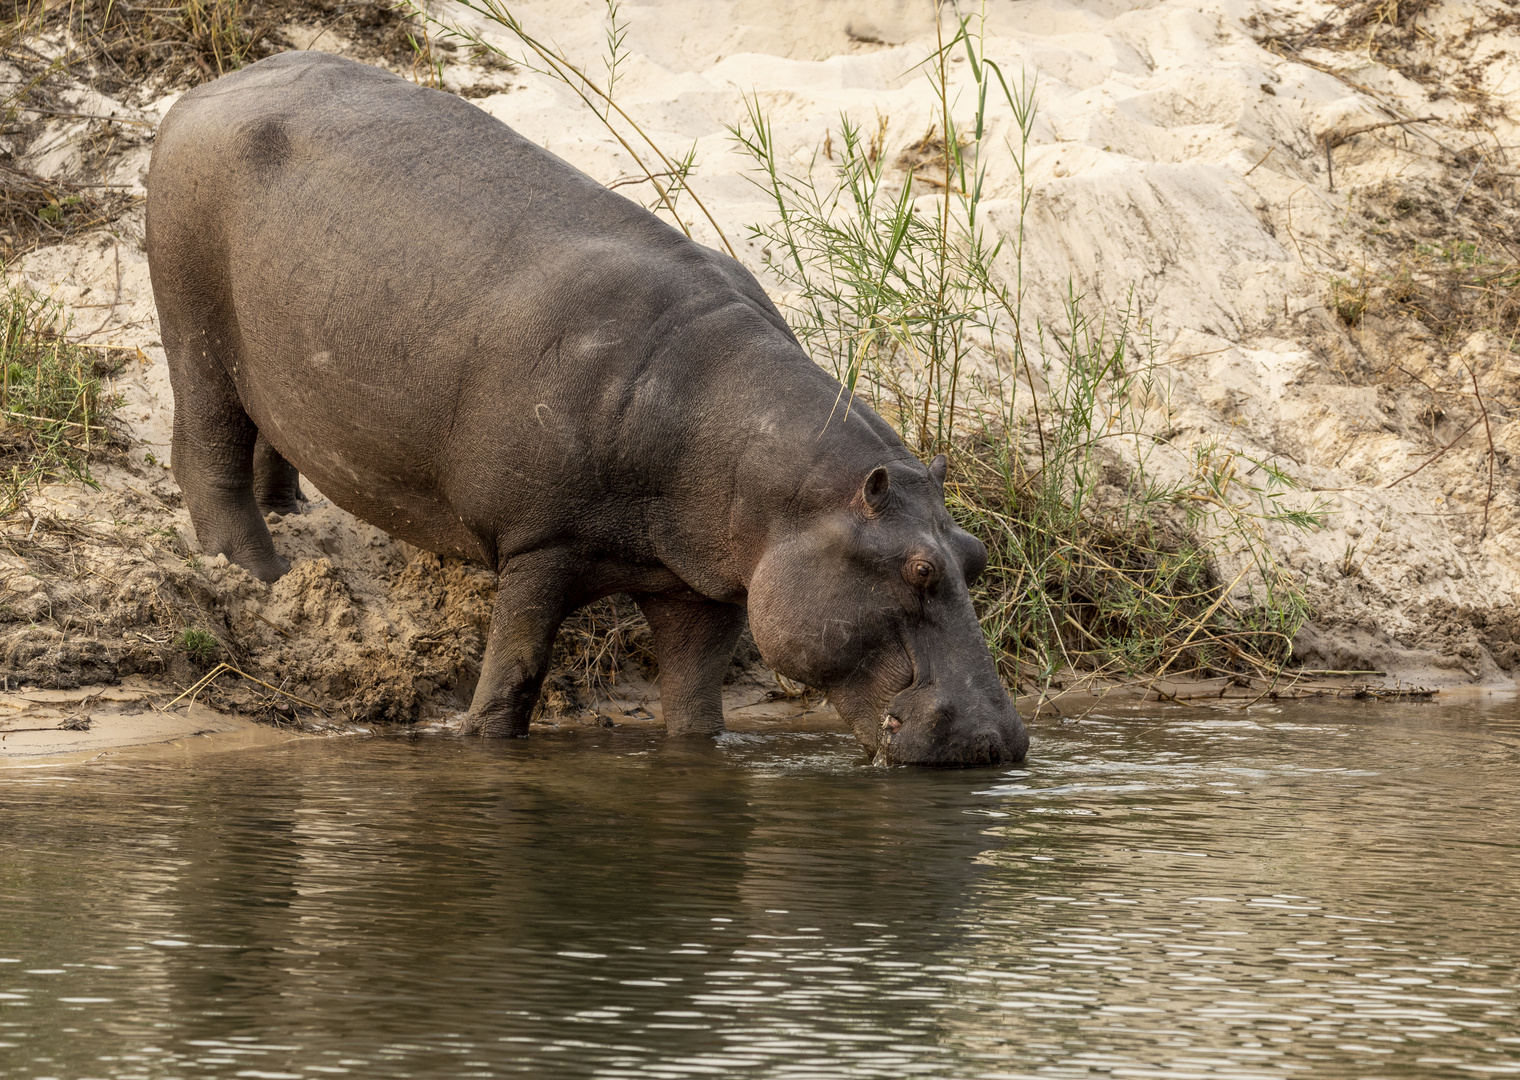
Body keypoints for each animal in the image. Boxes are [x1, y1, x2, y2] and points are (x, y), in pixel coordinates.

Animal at [145, 52, 1033, 768]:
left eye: (977, 554)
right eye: (918, 571)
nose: (998, 741)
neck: (774, 481)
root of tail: (202, 92)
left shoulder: (701, 588)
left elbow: (696, 708)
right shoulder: (540, 545)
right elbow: (514, 675)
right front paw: (480, 738)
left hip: (277, 359)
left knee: (269, 435)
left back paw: (290, 514)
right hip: (195, 329)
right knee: (205, 450)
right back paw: (260, 576)